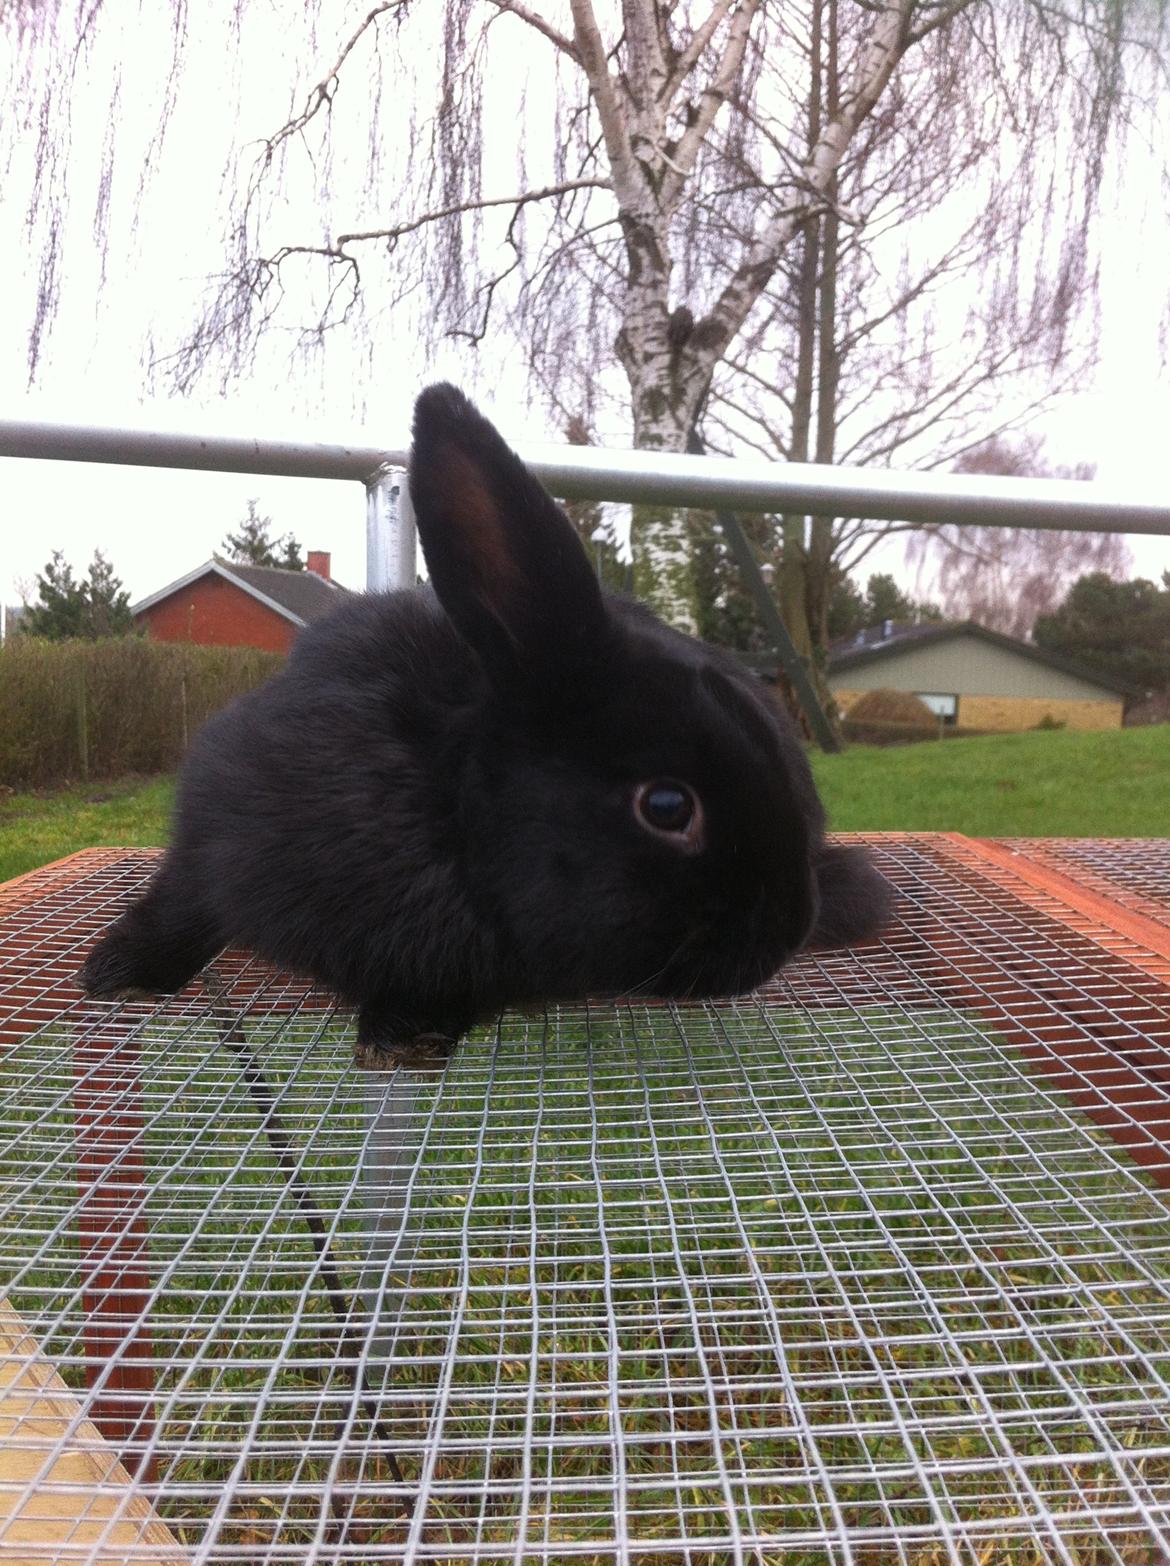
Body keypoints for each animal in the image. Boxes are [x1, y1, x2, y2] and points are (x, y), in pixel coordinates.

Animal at [82, 385, 889, 1064]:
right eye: (667, 806)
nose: (787, 934)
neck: (443, 805)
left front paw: (402, 1035)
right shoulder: (215, 829)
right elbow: (183, 905)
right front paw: (116, 973)